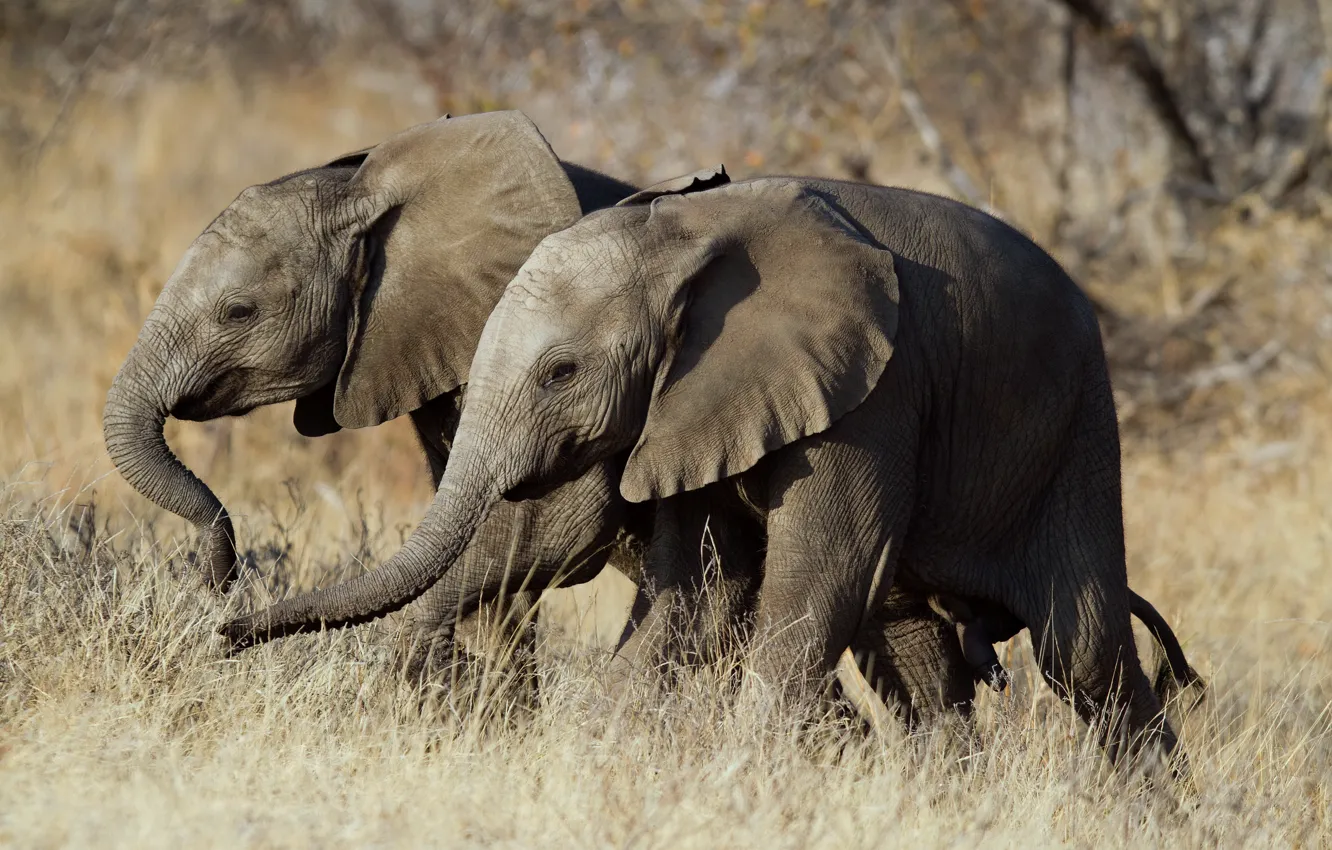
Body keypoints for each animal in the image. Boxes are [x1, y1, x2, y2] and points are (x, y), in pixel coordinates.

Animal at [220, 163, 1202, 767]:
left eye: (561, 372)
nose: (226, 631)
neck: (683, 239)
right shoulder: (689, 410)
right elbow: (697, 594)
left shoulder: (874, 395)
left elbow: (812, 585)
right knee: (919, 653)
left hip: (1076, 426)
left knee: (1081, 652)